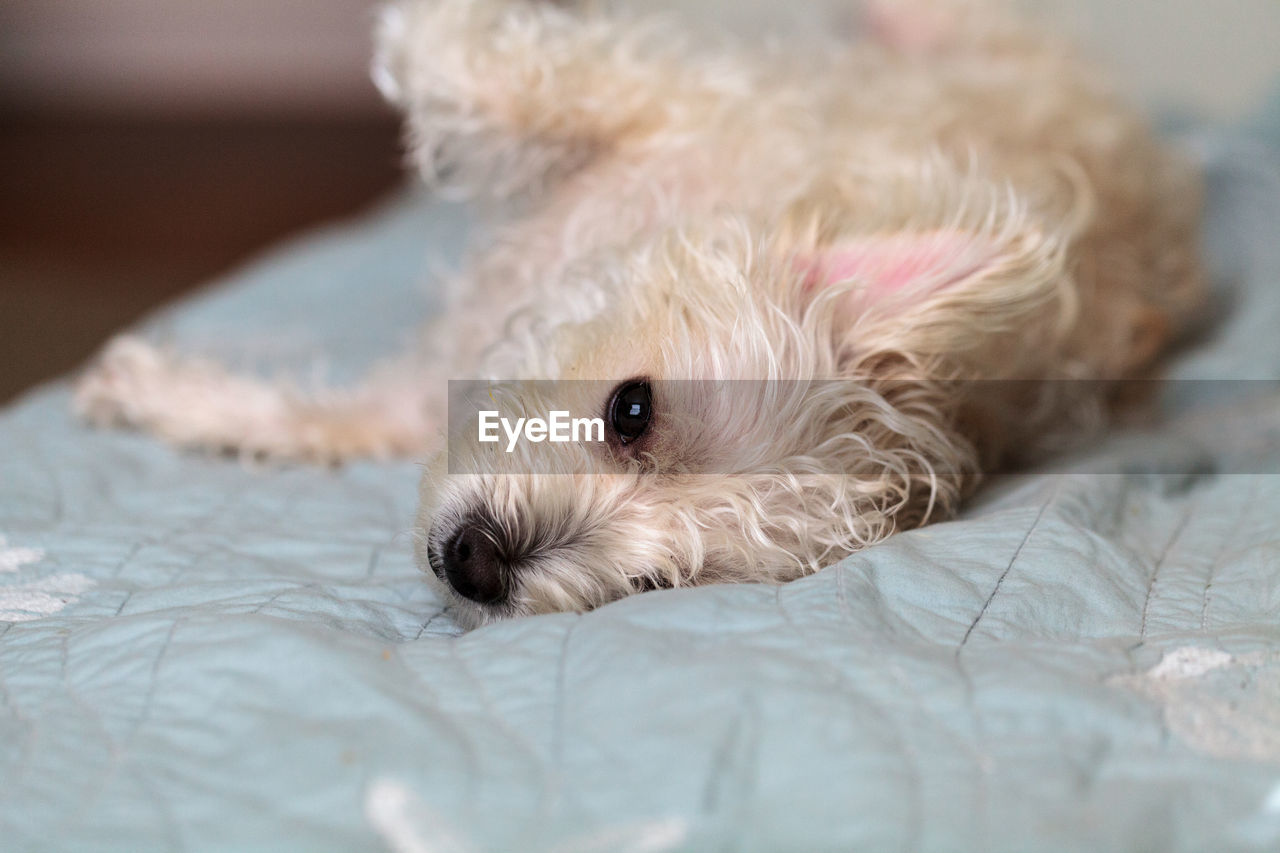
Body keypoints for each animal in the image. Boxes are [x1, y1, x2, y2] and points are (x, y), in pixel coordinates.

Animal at [74, 0, 1203, 625]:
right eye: (632, 409)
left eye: (657, 582)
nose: (479, 564)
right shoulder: (657, 101)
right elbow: (478, 62)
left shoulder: (424, 393)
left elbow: (314, 421)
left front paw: (159, 393)